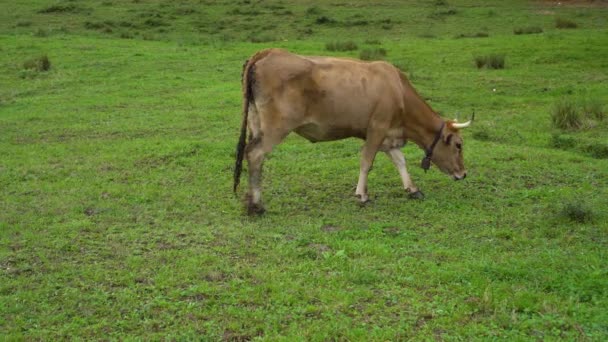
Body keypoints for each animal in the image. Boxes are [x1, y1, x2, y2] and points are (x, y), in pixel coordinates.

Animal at [232, 48, 470, 214]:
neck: (399, 91)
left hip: (255, 122)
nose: (463, 174)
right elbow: (367, 161)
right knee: (255, 154)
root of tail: (269, 52)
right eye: (459, 145)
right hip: (276, 127)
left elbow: (400, 162)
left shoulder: (389, 136)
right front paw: (362, 195)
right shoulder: (377, 128)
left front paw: (412, 189)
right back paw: (256, 206)